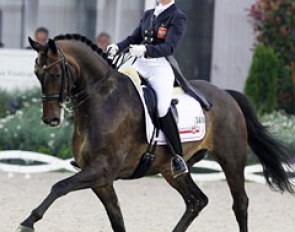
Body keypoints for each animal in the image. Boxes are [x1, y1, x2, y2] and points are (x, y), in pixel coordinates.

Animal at [17, 34, 294, 232]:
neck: (103, 99)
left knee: (240, 203)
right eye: (37, 74)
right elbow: (117, 219)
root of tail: (226, 94)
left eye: (55, 73)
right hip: (171, 169)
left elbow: (59, 186)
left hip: (231, 159)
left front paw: (28, 222)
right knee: (196, 201)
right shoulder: (101, 179)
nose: (51, 119)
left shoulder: (102, 170)